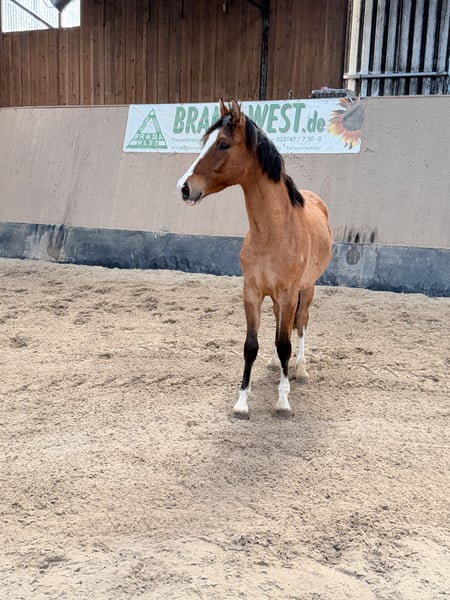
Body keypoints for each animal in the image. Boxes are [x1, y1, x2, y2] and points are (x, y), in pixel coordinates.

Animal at [177, 99, 332, 418]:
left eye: (223, 144)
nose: (185, 188)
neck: (272, 233)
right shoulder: (252, 292)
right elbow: (252, 344)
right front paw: (242, 402)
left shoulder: (288, 293)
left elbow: (285, 343)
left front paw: (283, 401)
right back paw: (274, 364)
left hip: (307, 290)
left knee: (301, 325)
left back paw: (300, 369)